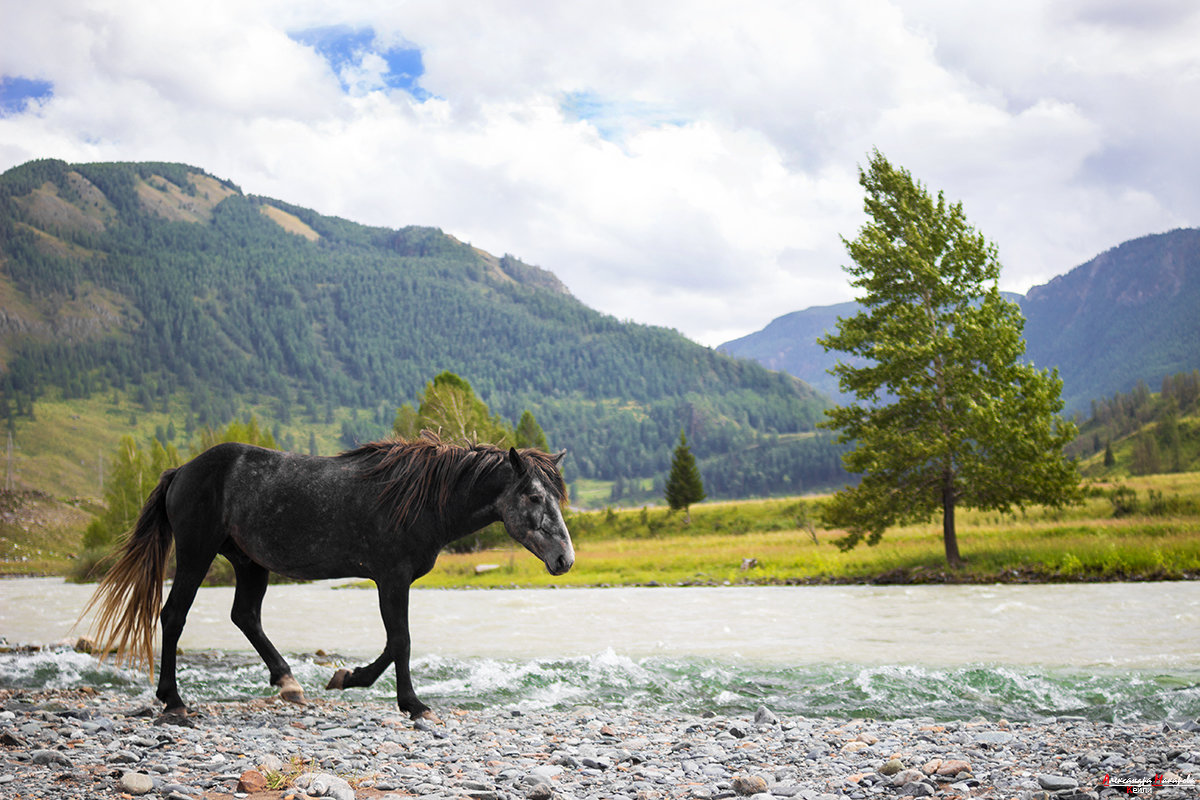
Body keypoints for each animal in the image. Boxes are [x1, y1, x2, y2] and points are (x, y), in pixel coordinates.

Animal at [82, 434, 573, 724]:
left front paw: (345, 677)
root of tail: (181, 471)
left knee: (245, 617)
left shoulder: (391, 581)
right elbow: (401, 641)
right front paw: (410, 703)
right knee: (174, 616)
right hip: (196, 554)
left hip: (248, 563)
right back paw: (174, 700)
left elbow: (392, 643)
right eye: (533, 496)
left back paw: (289, 684)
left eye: (556, 496)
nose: (565, 559)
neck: (417, 499)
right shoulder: (392, 578)